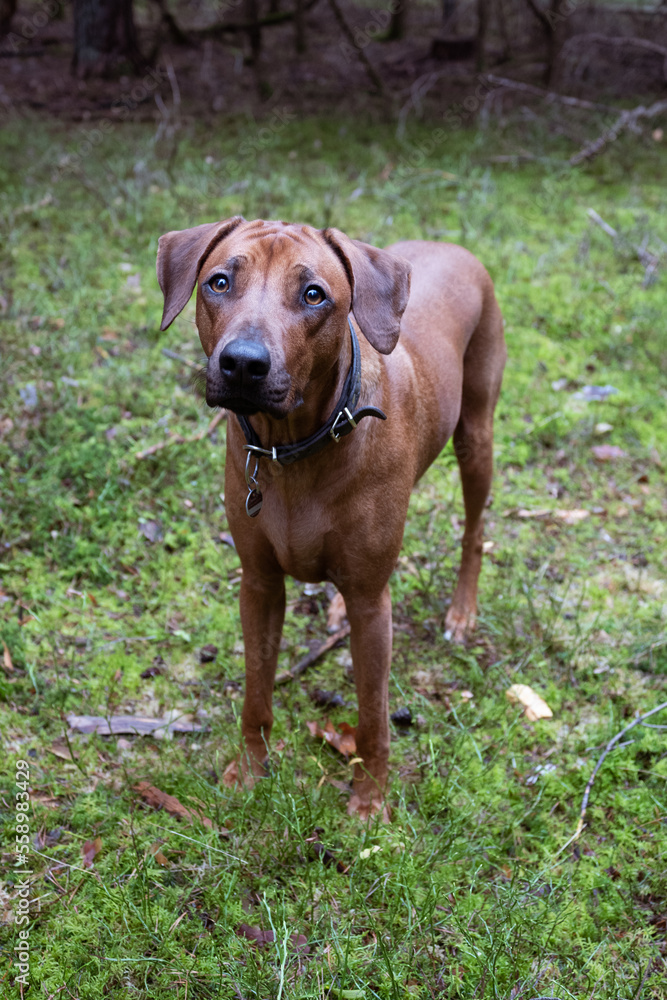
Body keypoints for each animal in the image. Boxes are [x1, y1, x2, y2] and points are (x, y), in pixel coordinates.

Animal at [157, 219, 506, 820]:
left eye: (314, 294)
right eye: (219, 282)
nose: (242, 363)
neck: (294, 446)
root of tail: (449, 245)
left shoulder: (373, 605)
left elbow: (372, 716)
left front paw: (370, 801)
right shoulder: (259, 583)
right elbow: (256, 691)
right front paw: (249, 771)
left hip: (476, 434)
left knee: (474, 530)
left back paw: (462, 612)